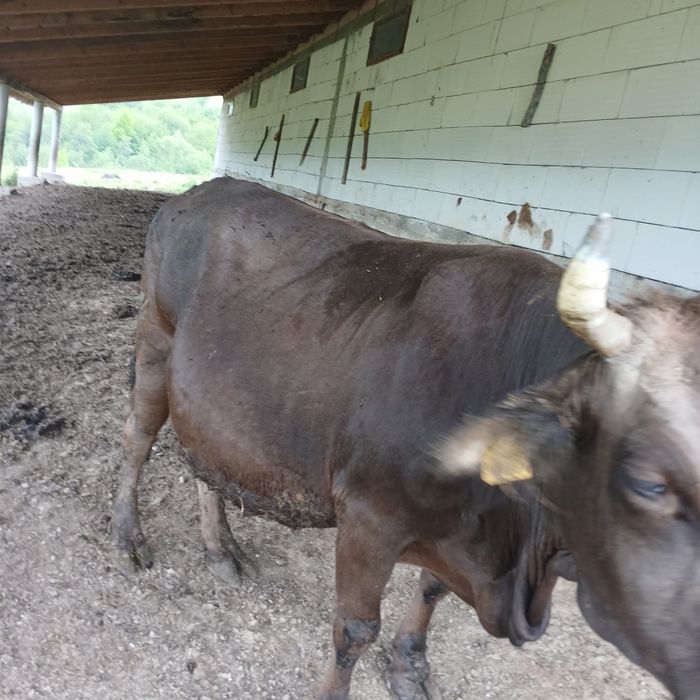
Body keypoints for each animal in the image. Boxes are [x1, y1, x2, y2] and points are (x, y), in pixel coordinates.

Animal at [112, 177, 700, 699]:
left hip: (207, 394)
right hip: (155, 339)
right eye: (648, 483)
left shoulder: (456, 533)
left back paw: (221, 550)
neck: (510, 554)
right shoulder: (369, 516)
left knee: (201, 459)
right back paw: (127, 538)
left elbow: (431, 590)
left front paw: (409, 665)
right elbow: (354, 629)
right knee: (137, 438)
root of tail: (198, 192)